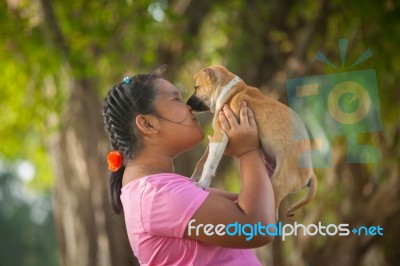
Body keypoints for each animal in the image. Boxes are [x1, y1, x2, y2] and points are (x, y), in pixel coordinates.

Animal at [186, 65, 318, 218]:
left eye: (196, 87)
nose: (186, 104)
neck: (230, 91)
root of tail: (310, 173)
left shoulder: (220, 137)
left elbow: (209, 164)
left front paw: (202, 183)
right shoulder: (215, 138)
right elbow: (202, 161)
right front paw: (193, 178)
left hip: (277, 185)